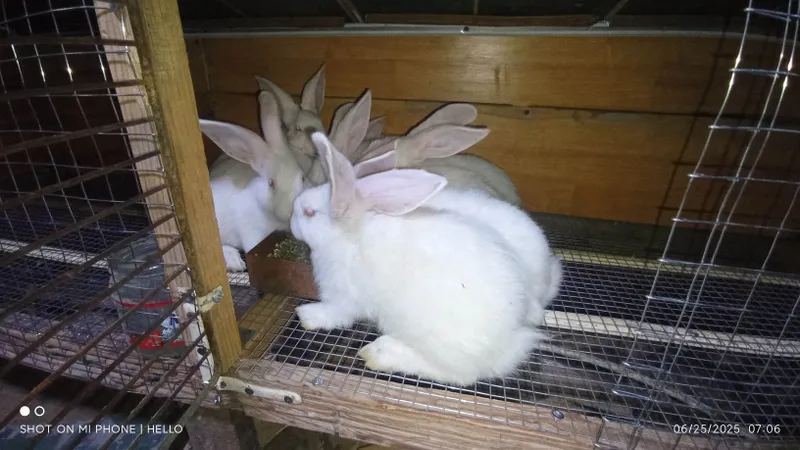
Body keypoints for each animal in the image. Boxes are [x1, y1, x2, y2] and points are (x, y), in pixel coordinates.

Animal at [289, 131, 558, 386]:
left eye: (309, 213)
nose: (291, 221)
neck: (348, 236)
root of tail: (507, 344)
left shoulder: (343, 295)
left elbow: (335, 313)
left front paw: (306, 315)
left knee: (459, 374)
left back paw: (380, 353)